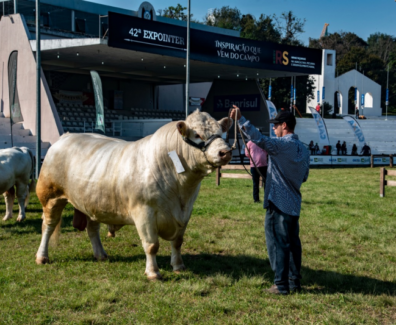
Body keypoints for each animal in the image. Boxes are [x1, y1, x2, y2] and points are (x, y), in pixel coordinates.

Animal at [35, 110, 234, 278]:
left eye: (222, 133)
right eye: (197, 135)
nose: (225, 152)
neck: (181, 190)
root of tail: (67, 135)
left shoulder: (185, 213)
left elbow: (177, 242)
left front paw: (178, 266)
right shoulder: (144, 212)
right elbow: (152, 245)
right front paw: (153, 273)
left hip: (92, 201)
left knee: (92, 229)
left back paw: (100, 255)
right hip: (50, 197)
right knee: (48, 226)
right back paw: (42, 257)